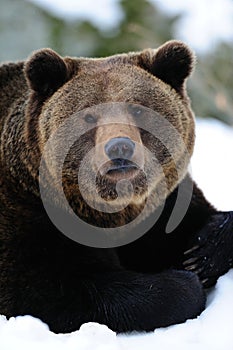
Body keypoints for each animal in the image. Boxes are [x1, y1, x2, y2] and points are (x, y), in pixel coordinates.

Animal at [0, 41, 233, 334]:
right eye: (89, 116)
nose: (120, 147)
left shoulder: (163, 204)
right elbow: (46, 286)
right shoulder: (26, 215)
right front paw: (183, 283)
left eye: (138, 109)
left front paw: (201, 253)